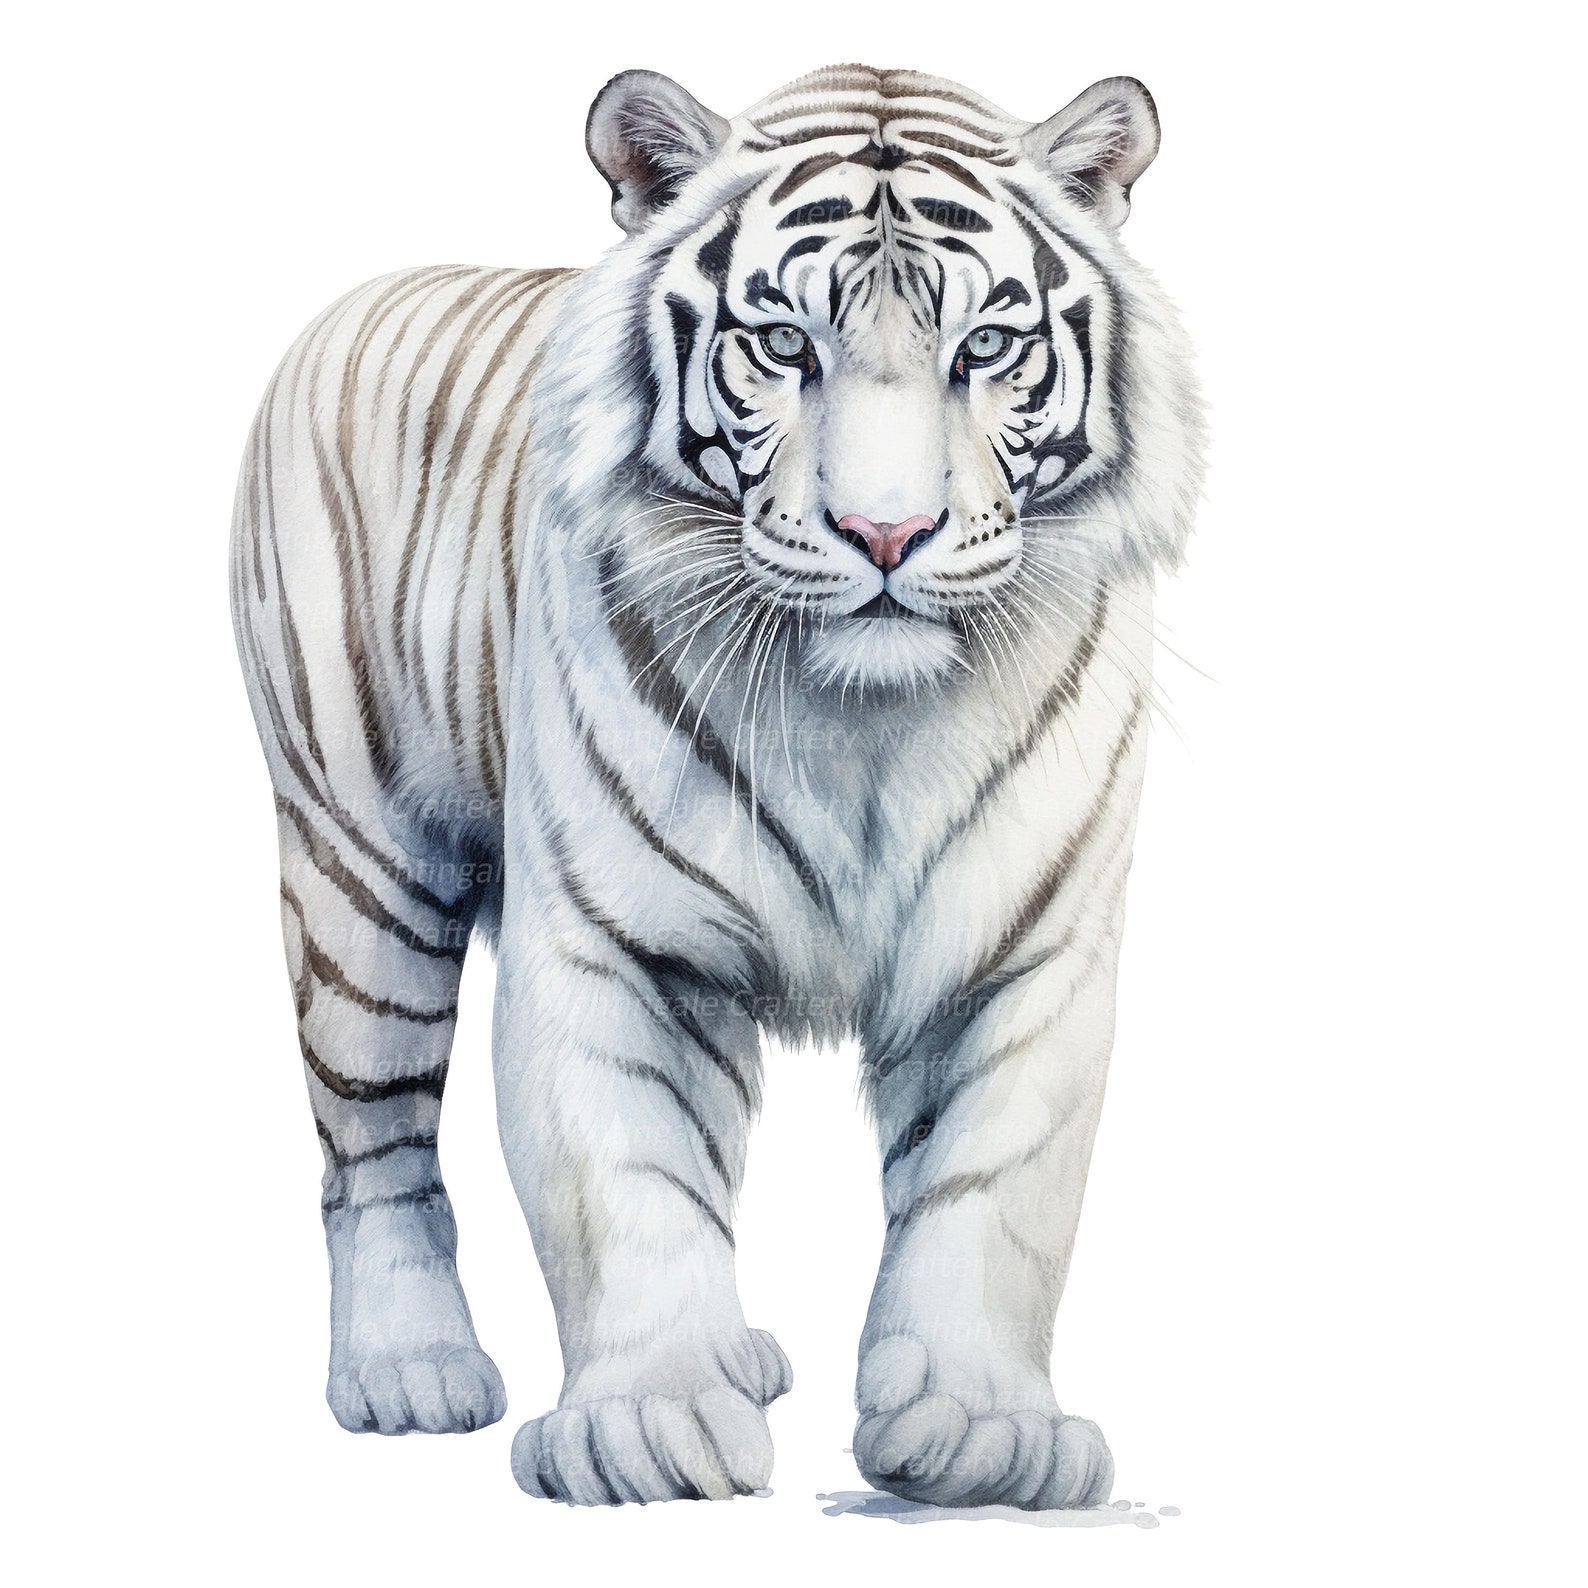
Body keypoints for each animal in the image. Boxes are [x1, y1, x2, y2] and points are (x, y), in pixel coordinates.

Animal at [230, 63, 1203, 1509]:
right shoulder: (617, 942)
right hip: (363, 875)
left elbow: (992, 1198)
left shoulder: (1024, 953)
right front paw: (649, 1423)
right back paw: (412, 1373)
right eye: (785, 345)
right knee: (376, 1142)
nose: (886, 535)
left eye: (984, 348)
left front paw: (979, 1431)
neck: (863, 717)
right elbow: (624, 1178)